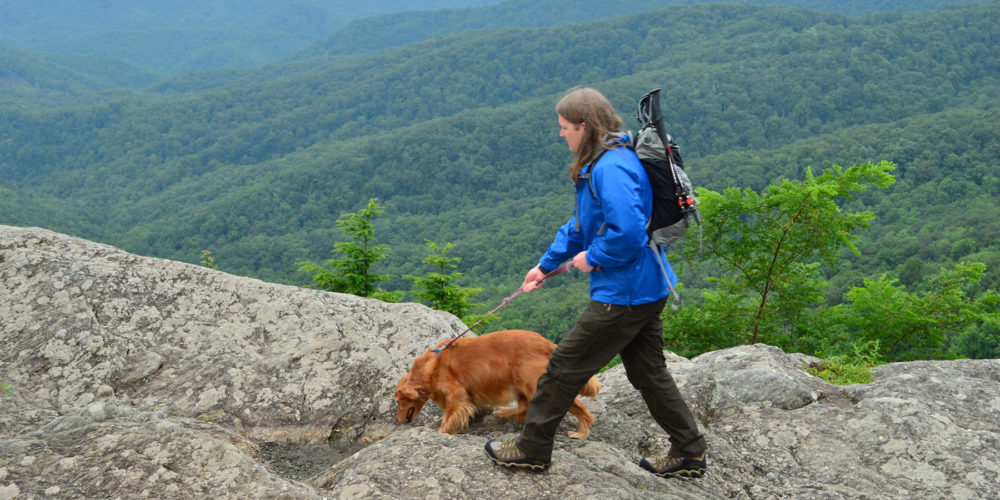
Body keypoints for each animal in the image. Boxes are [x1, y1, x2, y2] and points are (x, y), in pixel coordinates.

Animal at [394, 329, 600, 439]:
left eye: (398, 401)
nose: (397, 420)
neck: (431, 366)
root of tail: (546, 343)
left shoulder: (457, 395)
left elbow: (448, 417)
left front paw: (442, 431)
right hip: (519, 384)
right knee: (524, 406)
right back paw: (504, 412)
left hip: (532, 383)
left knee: (577, 407)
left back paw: (582, 432)